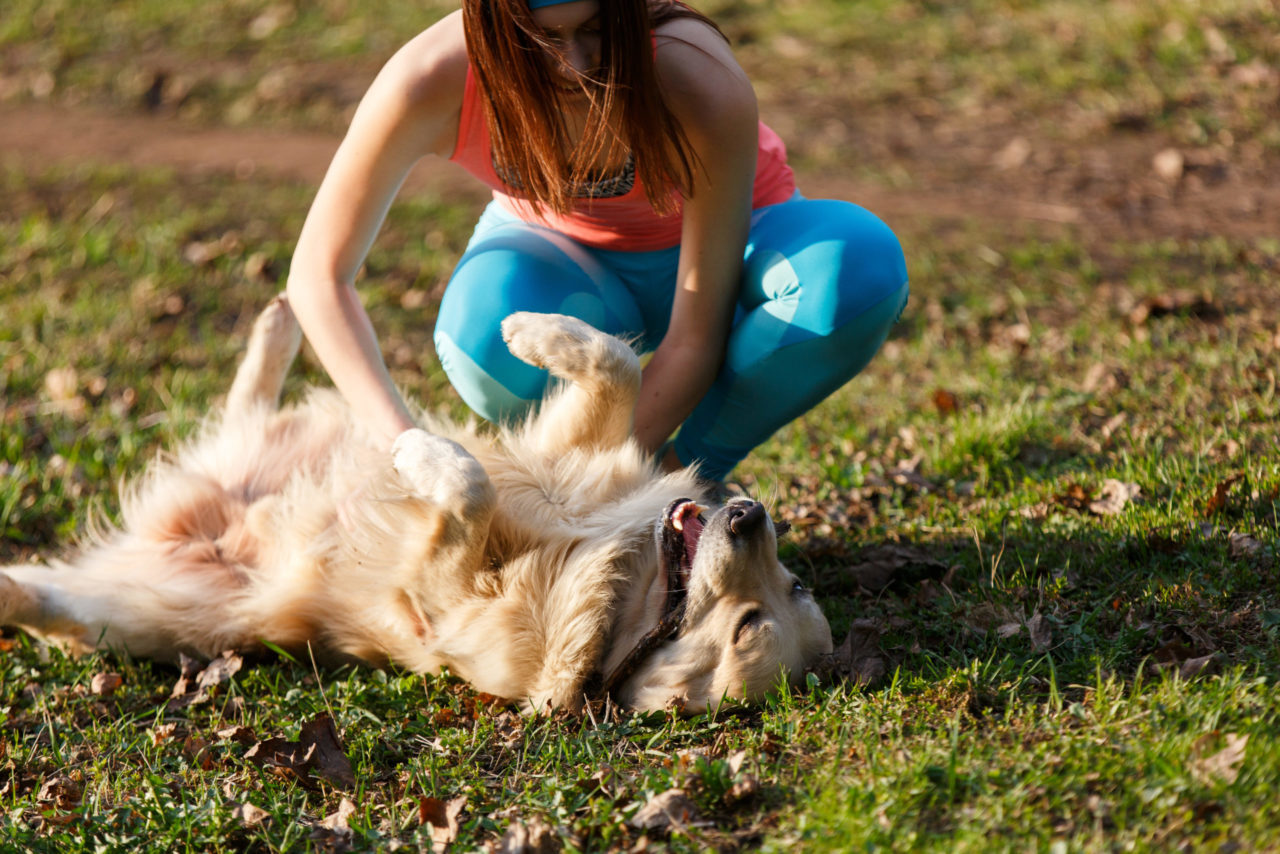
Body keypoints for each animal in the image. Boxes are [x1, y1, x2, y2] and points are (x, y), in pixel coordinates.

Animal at [0, 300, 834, 717]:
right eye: (794, 586)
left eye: (751, 625)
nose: (749, 515)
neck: (625, 577)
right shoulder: (569, 450)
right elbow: (617, 363)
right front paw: (532, 331)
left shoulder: (437, 595)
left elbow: (468, 488)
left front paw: (418, 453)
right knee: (247, 403)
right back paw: (280, 322)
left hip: (138, 615)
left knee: (49, 607)